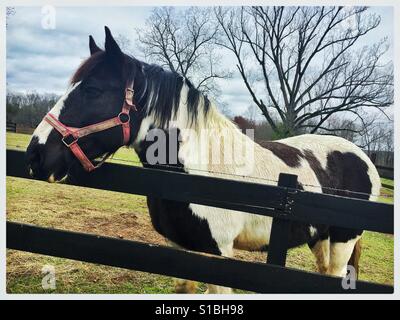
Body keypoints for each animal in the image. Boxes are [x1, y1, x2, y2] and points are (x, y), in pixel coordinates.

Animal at [25, 26, 382, 294]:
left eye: (93, 91)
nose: (35, 154)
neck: (200, 171)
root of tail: (363, 157)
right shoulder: (182, 248)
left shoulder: (218, 255)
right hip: (319, 238)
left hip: (343, 242)